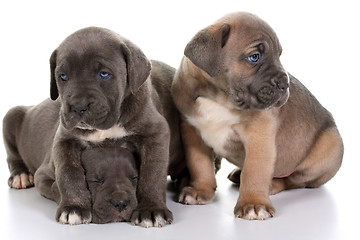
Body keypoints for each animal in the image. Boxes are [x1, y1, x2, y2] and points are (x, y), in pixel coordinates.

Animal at [3, 27, 186, 228]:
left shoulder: (155, 133)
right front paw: (74, 207)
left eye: (104, 74)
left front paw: (151, 210)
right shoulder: (65, 139)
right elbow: (68, 172)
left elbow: (152, 172)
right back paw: (20, 175)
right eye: (63, 77)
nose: (78, 106)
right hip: (11, 116)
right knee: (12, 155)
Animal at [172, 12, 344, 219]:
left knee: (294, 180)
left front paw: (253, 203)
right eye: (254, 57)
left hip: (328, 148)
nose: (285, 84)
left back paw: (272, 184)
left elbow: (254, 171)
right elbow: (200, 164)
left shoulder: (259, 138)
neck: (218, 97)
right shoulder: (192, 132)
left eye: (279, 55)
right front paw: (200, 189)